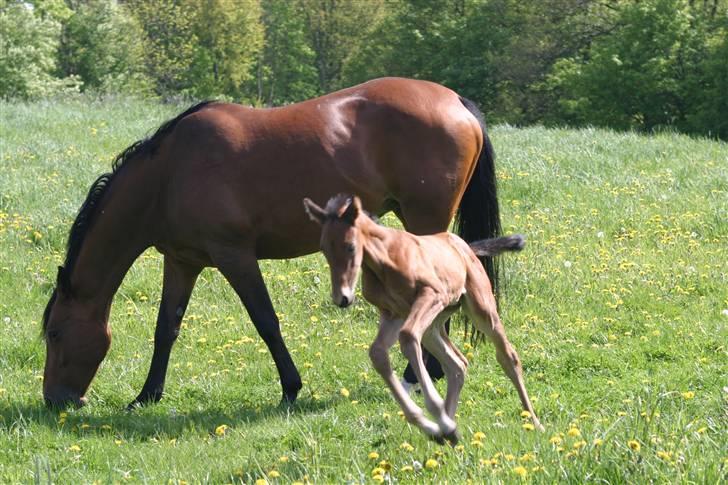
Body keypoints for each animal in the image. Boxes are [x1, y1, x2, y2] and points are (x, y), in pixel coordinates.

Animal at [39, 76, 500, 408]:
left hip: (425, 221)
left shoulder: (235, 256)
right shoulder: (183, 260)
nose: (57, 401)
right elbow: (166, 327)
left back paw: (419, 376)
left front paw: (290, 389)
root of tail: (456, 102)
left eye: (56, 334)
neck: (168, 175)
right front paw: (147, 395)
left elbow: (265, 321)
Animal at [304, 195, 544, 444]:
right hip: (432, 325)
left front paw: (436, 416)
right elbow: (378, 353)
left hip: (480, 307)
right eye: (324, 249)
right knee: (457, 364)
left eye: (350, 246)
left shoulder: (431, 294)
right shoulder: (393, 314)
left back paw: (533, 421)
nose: (342, 298)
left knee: (507, 356)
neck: (384, 259)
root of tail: (463, 245)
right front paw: (435, 426)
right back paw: (448, 429)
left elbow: (408, 338)